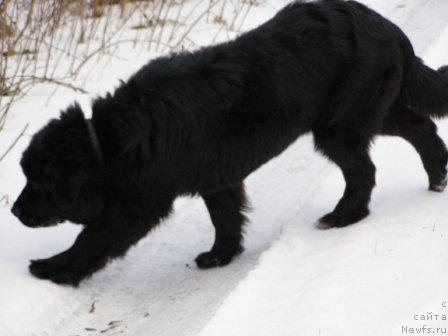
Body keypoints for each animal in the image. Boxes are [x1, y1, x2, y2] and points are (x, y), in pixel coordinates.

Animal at [10, 0, 448, 284]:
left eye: (40, 181)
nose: (14, 212)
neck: (107, 141)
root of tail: (389, 29)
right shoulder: (217, 181)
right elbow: (226, 218)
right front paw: (222, 255)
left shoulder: (141, 203)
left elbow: (94, 236)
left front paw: (54, 269)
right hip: (373, 108)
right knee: (422, 126)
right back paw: (437, 175)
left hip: (341, 125)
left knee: (365, 170)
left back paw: (343, 216)